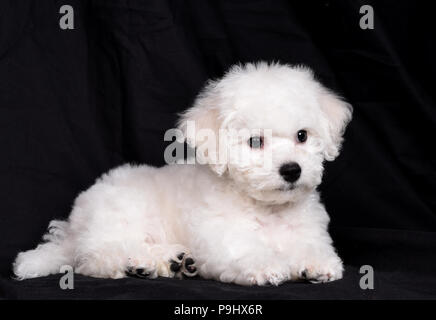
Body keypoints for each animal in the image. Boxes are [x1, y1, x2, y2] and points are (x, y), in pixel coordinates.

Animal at [12, 62, 350, 284]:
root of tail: (74, 226)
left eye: (302, 136)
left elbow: (312, 246)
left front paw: (316, 263)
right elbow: (244, 249)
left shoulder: (309, 230)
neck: (269, 210)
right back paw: (145, 262)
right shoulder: (221, 238)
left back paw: (174, 262)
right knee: (97, 257)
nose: (292, 170)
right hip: (119, 219)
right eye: (256, 142)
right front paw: (265, 266)